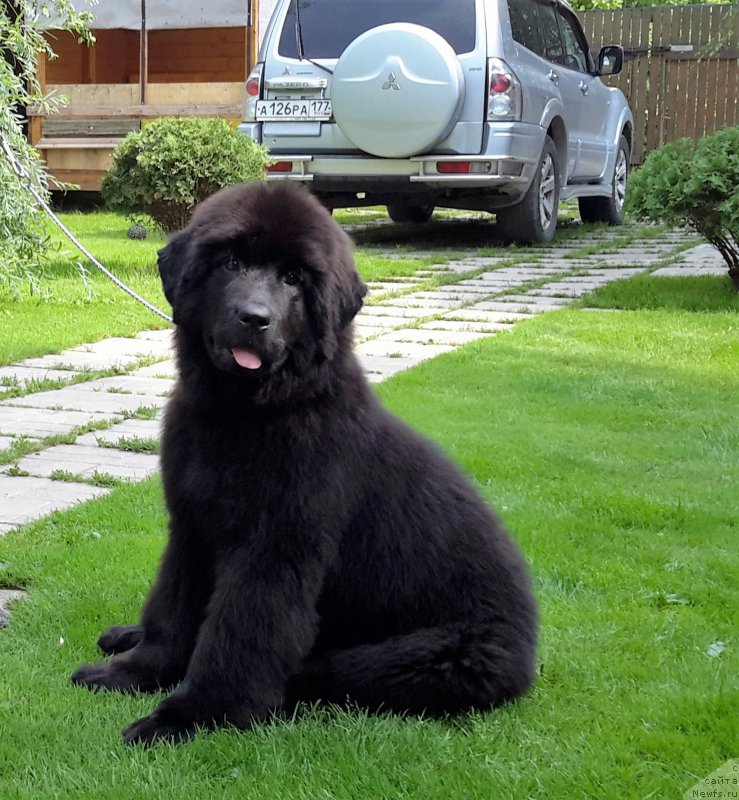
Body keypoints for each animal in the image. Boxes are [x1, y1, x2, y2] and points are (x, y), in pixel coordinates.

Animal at [72, 181, 536, 744]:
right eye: (230, 262)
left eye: (293, 278)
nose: (254, 318)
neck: (244, 415)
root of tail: (527, 646)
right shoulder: (193, 529)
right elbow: (172, 609)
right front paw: (133, 672)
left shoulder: (275, 551)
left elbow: (236, 636)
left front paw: (192, 714)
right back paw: (126, 634)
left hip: (419, 658)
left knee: (317, 669)